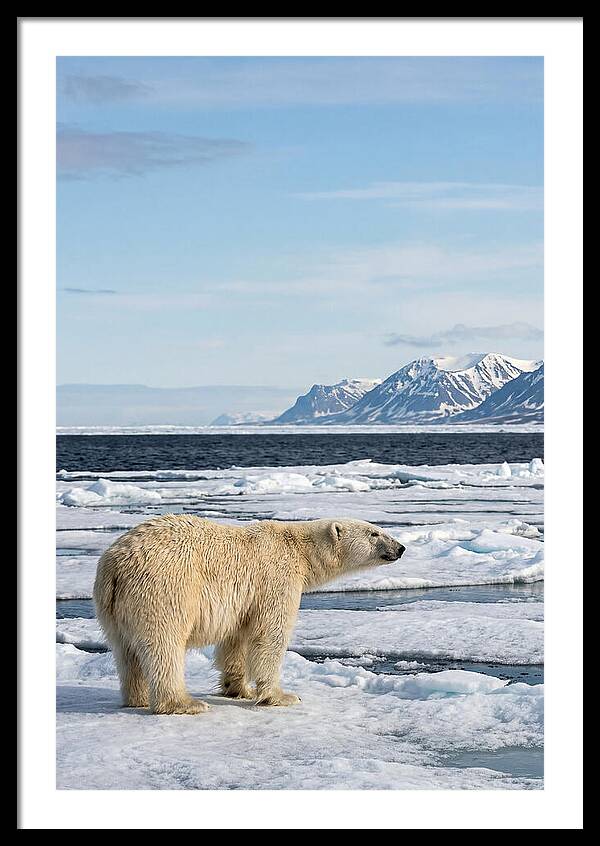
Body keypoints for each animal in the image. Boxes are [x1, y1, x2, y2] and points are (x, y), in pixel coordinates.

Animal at [93, 515, 405, 715]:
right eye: (375, 533)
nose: (401, 548)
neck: (299, 550)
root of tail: (115, 565)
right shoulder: (276, 578)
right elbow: (270, 635)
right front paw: (282, 696)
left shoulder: (245, 600)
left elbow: (236, 639)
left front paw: (238, 689)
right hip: (164, 589)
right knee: (164, 645)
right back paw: (184, 703)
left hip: (111, 607)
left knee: (125, 651)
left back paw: (137, 698)